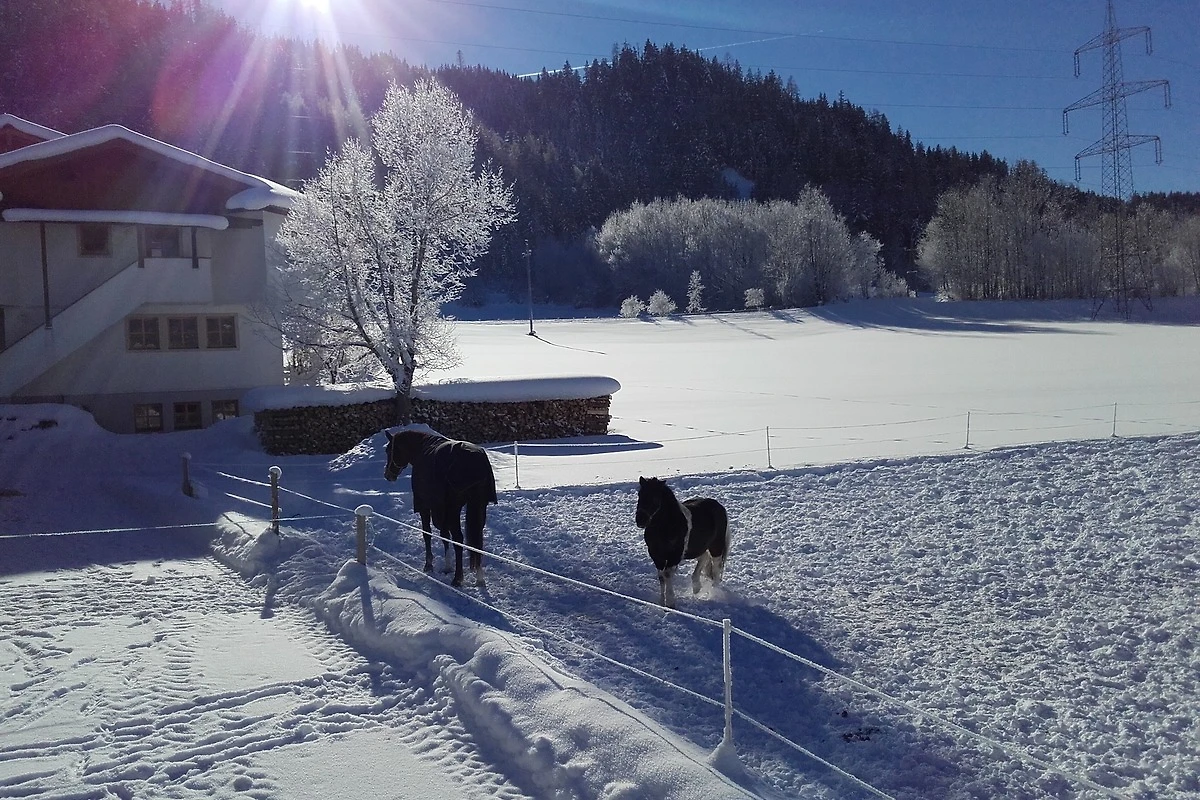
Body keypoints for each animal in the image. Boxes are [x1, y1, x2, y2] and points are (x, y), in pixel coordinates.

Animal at [383, 428, 497, 587]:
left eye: (389, 450)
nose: (388, 475)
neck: (421, 448)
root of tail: (474, 460)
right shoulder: (441, 508)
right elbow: (444, 535)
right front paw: (447, 566)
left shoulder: (425, 506)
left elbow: (427, 533)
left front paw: (428, 565)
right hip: (478, 506)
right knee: (476, 540)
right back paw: (479, 578)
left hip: (454, 508)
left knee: (458, 539)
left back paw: (457, 578)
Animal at [634, 476, 730, 608]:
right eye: (640, 494)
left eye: (655, 497)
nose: (640, 520)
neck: (666, 526)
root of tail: (720, 507)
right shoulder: (656, 555)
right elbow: (661, 577)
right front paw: (661, 603)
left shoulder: (675, 555)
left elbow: (667, 575)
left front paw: (670, 603)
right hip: (701, 546)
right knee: (703, 558)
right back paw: (696, 587)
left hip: (716, 547)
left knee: (716, 568)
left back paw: (713, 593)